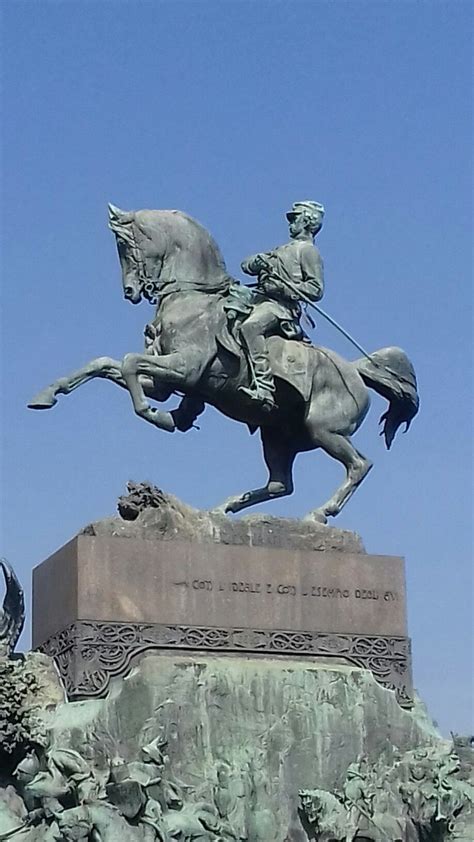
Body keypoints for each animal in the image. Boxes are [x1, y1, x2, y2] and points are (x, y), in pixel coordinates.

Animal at [28, 203, 418, 520]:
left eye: (125, 246)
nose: (130, 292)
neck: (192, 297)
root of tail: (356, 371)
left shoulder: (184, 369)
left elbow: (128, 364)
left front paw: (156, 417)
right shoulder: (165, 381)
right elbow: (104, 363)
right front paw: (47, 394)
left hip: (324, 430)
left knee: (359, 465)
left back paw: (319, 514)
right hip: (277, 435)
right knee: (280, 484)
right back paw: (223, 508)